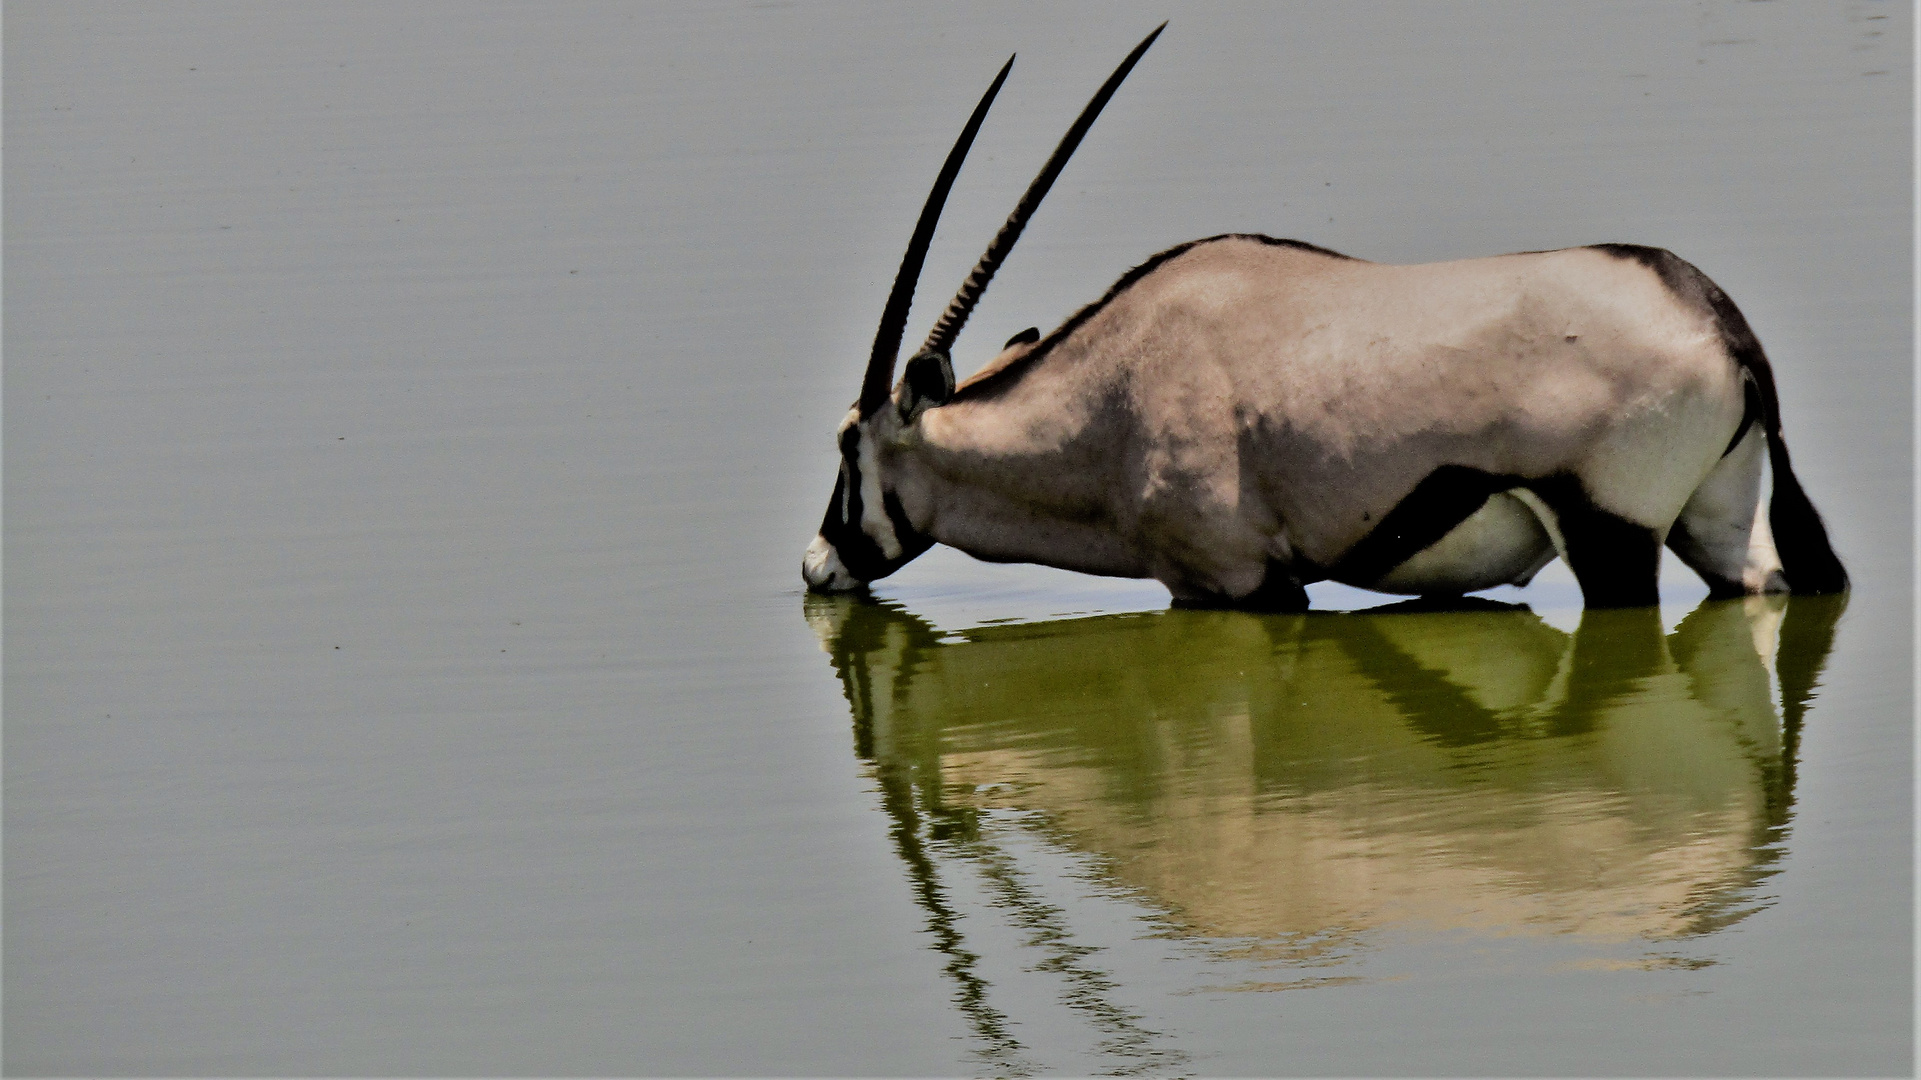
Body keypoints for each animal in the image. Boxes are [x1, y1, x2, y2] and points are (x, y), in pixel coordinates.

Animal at [799, 25, 1844, 611]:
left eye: (850, 450)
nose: (816, 569)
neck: (1108, 399)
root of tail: (1715, 319)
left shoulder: (1240, 584)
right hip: (1716, 521)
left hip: (1612, 536)